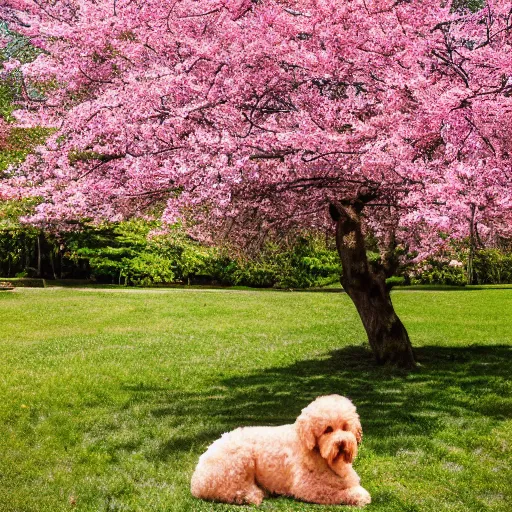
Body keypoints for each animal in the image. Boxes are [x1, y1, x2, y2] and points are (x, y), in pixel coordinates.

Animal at [190, 394, 370, 506]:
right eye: (328, 429)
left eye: (345, 427)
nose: (342, 444)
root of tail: (196, 481)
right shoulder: (307, 487)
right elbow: (336, 492)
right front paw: (358, 495)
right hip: (239, 461)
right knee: (229, 491)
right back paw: (251, 495)